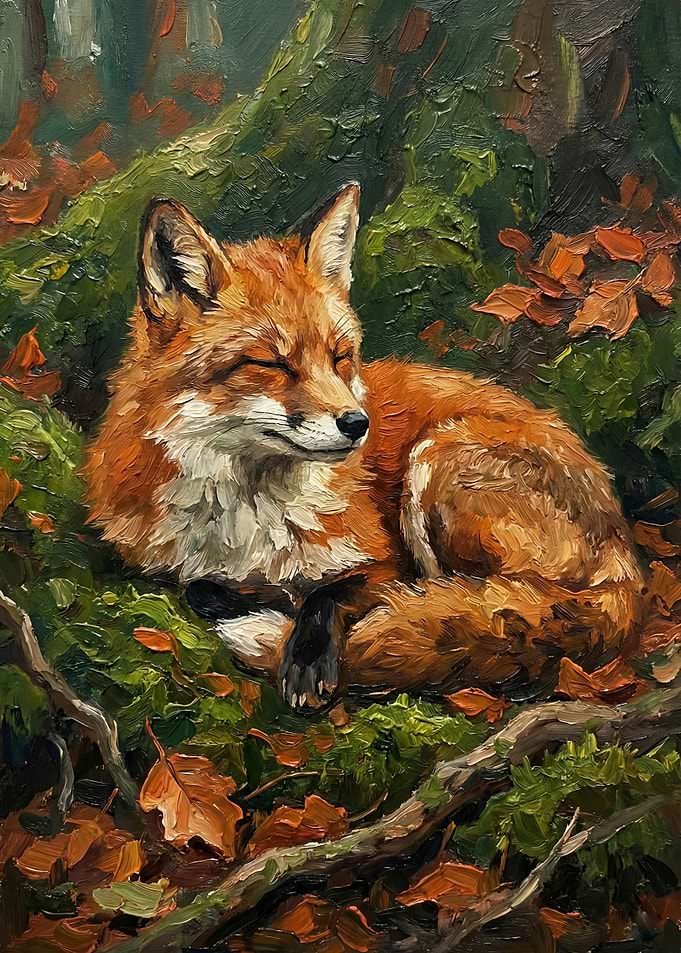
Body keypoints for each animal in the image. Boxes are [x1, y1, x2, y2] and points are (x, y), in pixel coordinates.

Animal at [85, 183, 644, 710]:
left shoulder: (384, 564)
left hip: (435, 462)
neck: (248, 521)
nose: (358, 424)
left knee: (483, 607)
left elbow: (331, 593)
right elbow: (200, 584)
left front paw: (307, 652)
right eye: (272, 364)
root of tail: (625, 557)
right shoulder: (154, 561)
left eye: (340, 357)